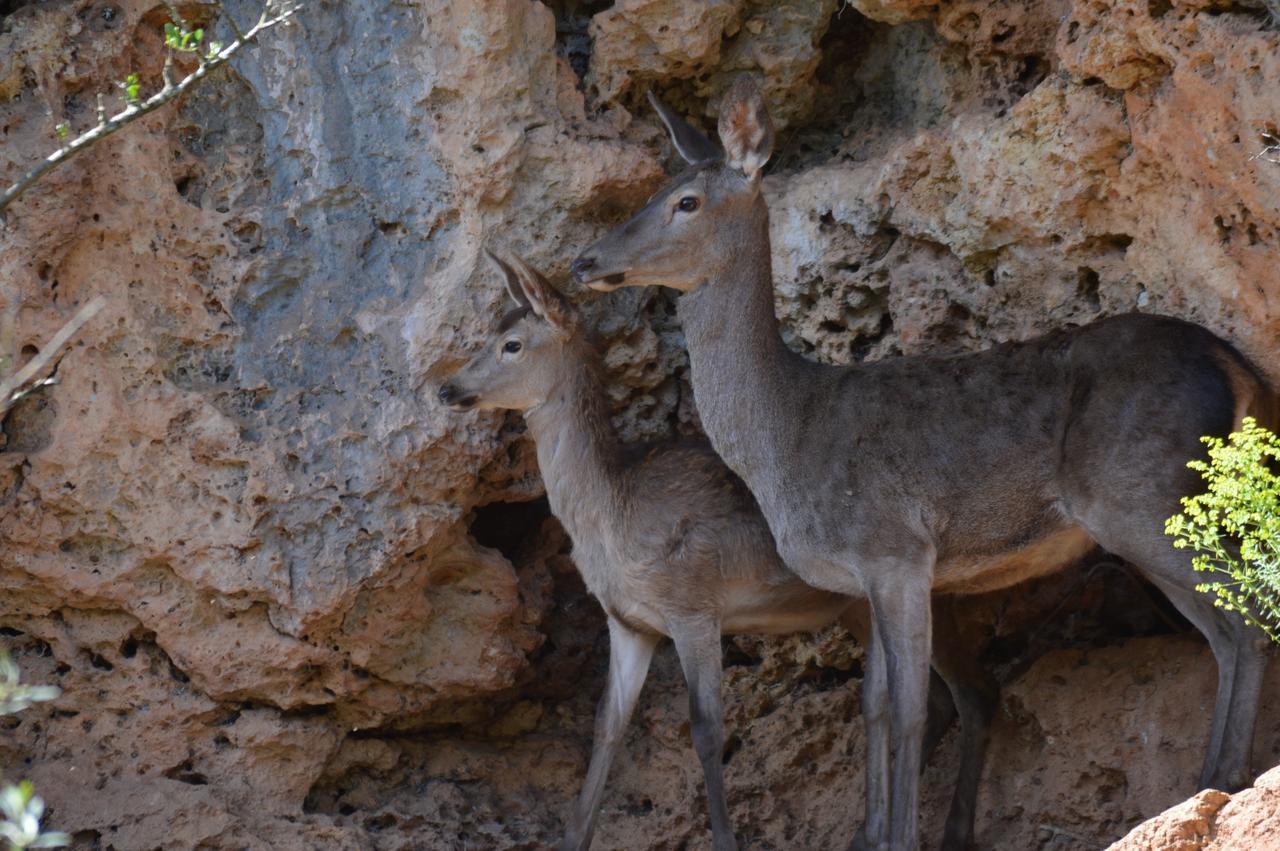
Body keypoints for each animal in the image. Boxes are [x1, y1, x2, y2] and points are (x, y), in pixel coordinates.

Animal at [440, 250, 998, 849]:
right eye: (487, 333)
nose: (446, 389)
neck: (613, 520)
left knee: (976, 691)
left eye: (511, 344)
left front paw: (726, 838)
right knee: (939, 697)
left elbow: (705, 727)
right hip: (862, 604)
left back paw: (953, 832)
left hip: (926, 586)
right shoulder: (628, 621)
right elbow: (607, 725)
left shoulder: (692, 604)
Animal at [573, 78, 1280, 849]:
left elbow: (910, 708)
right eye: (657, 189)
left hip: (1145, 494)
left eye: (687, 201)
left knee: (1246, 614)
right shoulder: (868, 572)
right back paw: (1211, 779)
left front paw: (901, 834)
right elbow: (878, 706)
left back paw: (1222, 780)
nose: (584, 260)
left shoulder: (896, 548)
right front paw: (878, 832)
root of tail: (1238, 366)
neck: (785, 436)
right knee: (1224, 626)